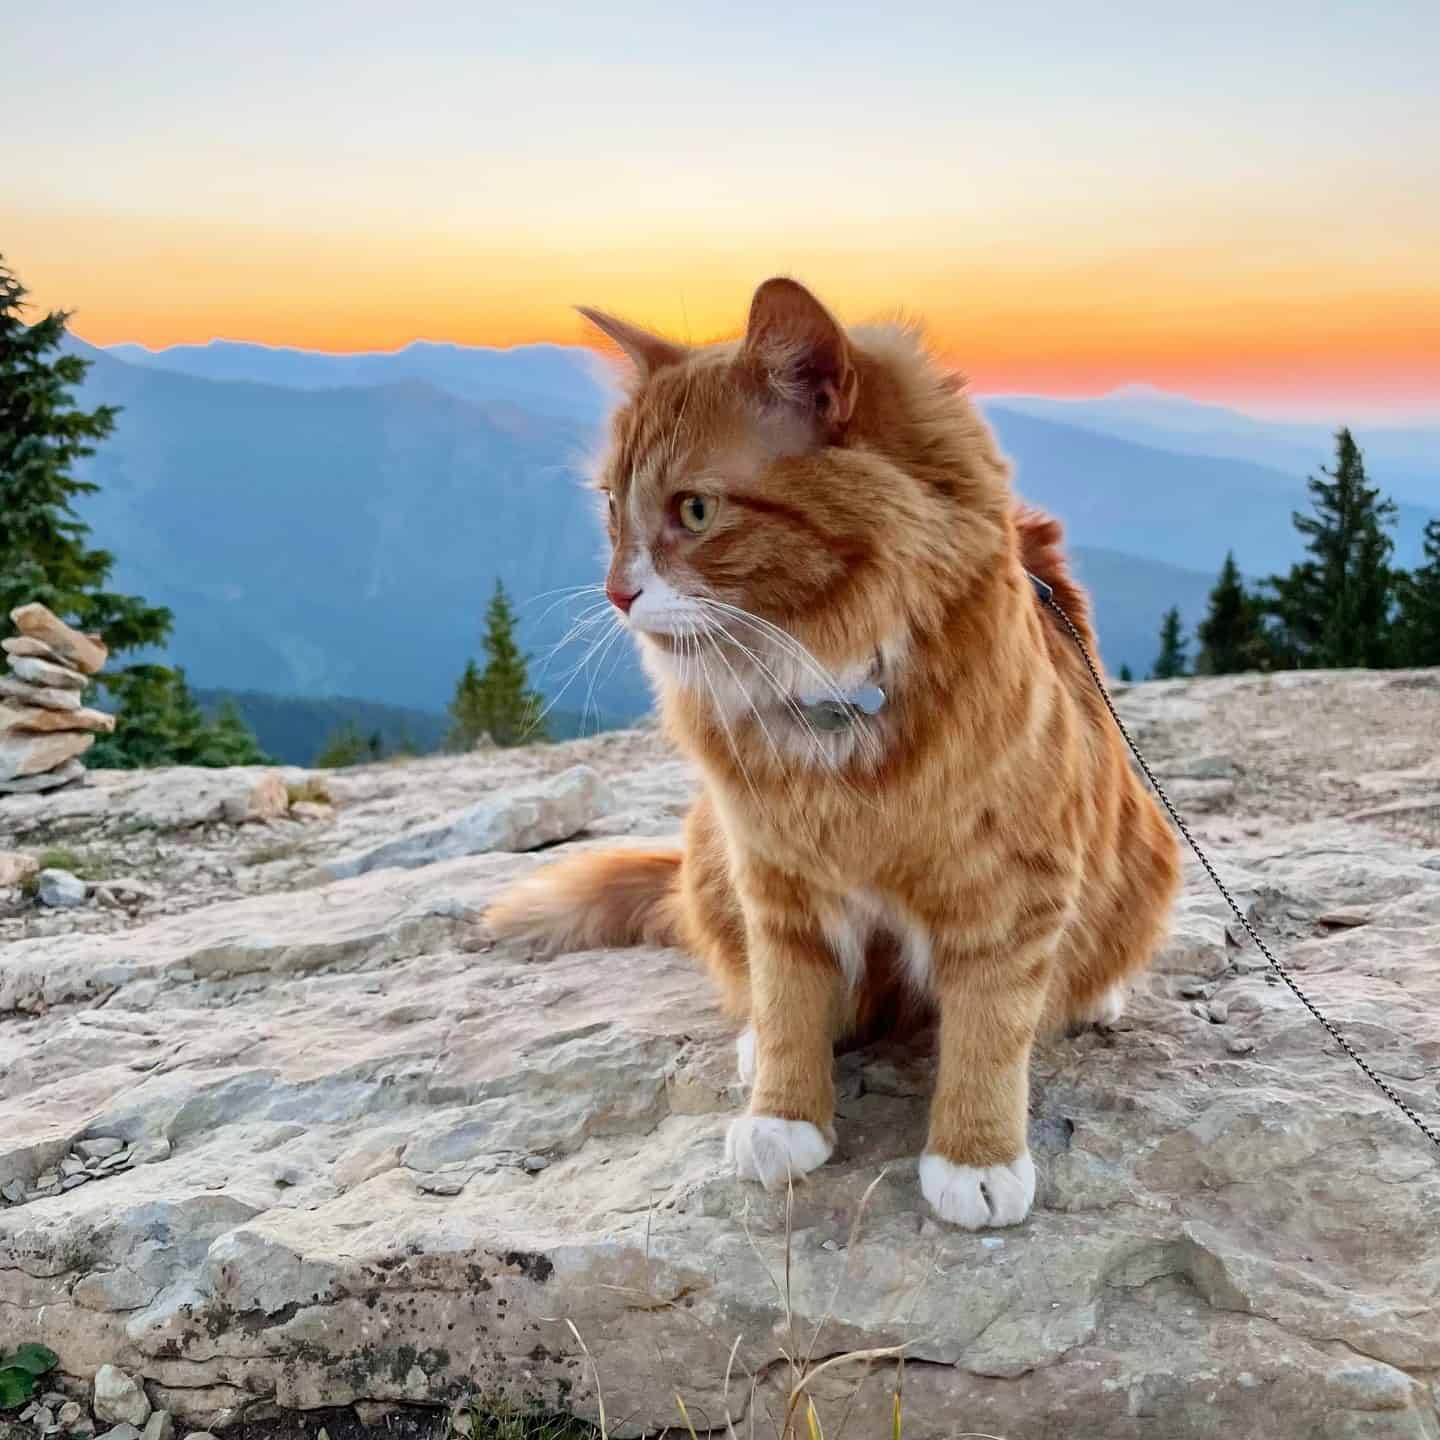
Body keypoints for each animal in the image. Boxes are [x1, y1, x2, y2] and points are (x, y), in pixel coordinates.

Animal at [483, 277, 1180, 1226]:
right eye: (612, 509)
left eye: (695, 510)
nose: (617, 593)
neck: (831, 695)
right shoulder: (774, 875)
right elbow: (787, 1000)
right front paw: (783, 1113)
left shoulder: (1012, 888)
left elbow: (991, 1030)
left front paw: (976, 1158)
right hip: (709, 849)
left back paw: (1094, 994)